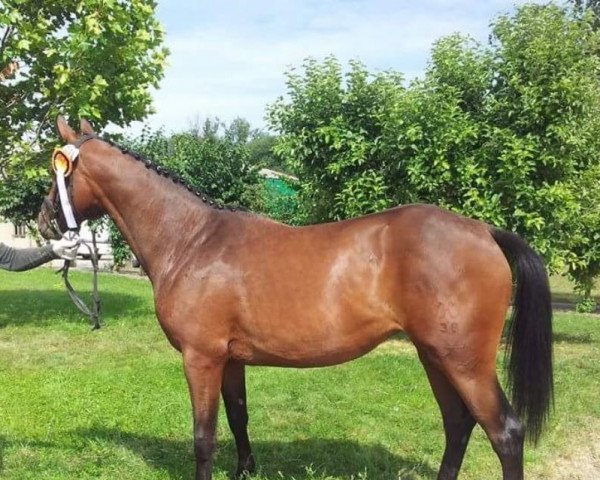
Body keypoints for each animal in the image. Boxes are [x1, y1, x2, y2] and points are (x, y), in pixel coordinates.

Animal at [37, 117, 552, 480]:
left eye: (58, 173)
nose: (43, 221)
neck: (192, 240)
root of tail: (483, 231)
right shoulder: (230, 359)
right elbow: (238, 418)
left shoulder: (200, 358)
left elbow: (204, 436)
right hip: (434, 355)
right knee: (458, 424)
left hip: (464, 361)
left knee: (504, 432)